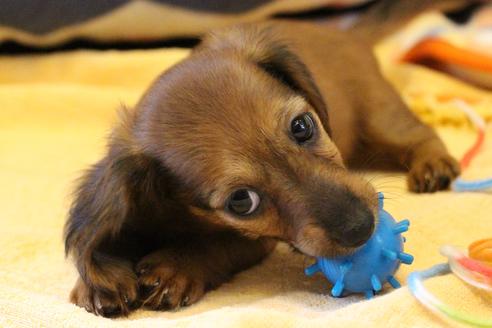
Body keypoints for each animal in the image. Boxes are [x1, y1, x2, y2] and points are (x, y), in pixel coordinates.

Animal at [65, 0, 468, 318]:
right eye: (241, 201)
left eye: (302, 126)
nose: (361, 227)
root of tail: (344, 34)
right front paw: (100, 282)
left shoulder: (253, 241)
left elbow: (215, 246)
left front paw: (176, 266)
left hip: (380, 117)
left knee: (421, 134)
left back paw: (432, 163)